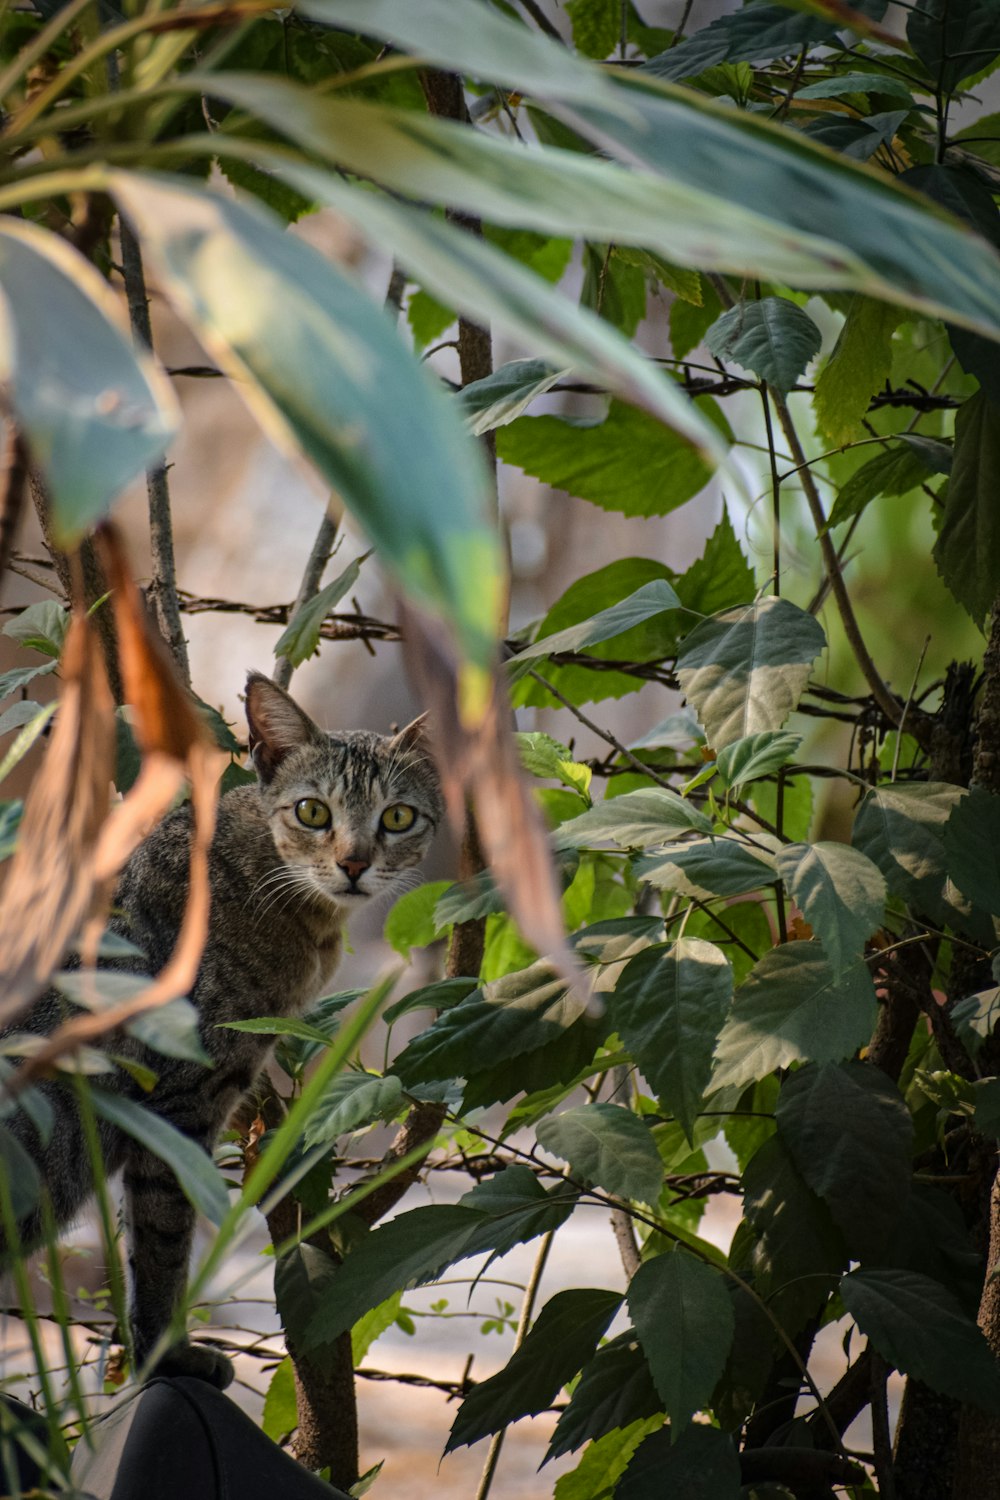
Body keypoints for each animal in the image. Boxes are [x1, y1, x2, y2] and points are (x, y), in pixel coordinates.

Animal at [0, 675, 440, 1386]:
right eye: (312, 812)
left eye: (397, 817)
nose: (353, 863)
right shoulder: (182, 1105)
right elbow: (162, 1244)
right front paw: (166, 1352)